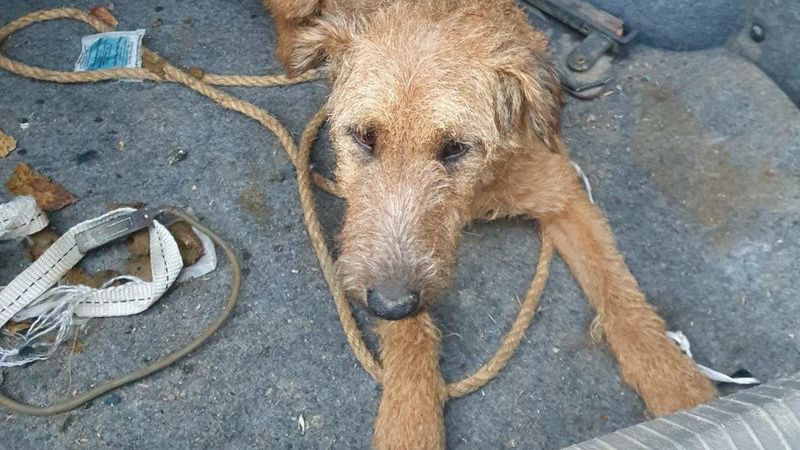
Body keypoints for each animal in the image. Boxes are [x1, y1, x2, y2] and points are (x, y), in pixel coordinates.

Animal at [262, 0, 718, 448]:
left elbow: (620, 294)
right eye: (365, 137)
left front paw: (680, 390)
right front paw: (410, 419)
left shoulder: (565, 196)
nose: (390, 304)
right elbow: (410, 335)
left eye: (455, 148)